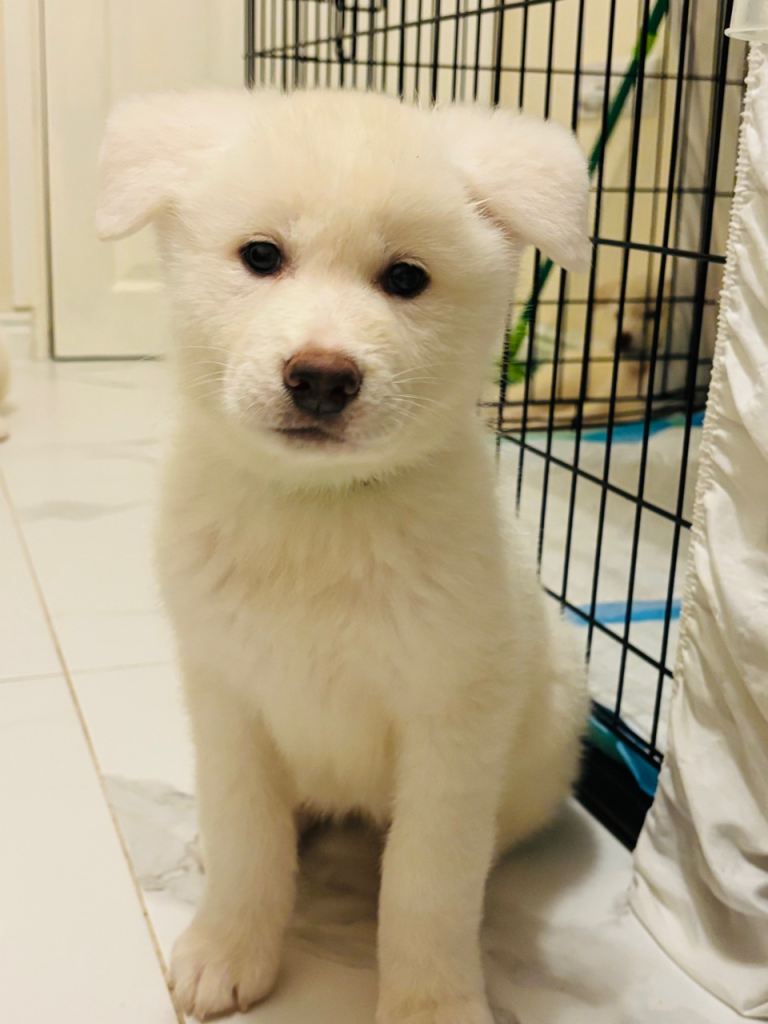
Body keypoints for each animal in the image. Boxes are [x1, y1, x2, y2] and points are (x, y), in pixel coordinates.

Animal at [97, 89, 590, 1024]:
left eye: (406, 278)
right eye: (261, 256)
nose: (321, 377)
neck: (320, 512)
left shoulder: (451, 719)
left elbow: (427, 884)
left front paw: (431, 1001)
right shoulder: (226, 694)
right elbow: (249, 838)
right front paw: (229, 948)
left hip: (540, 743)